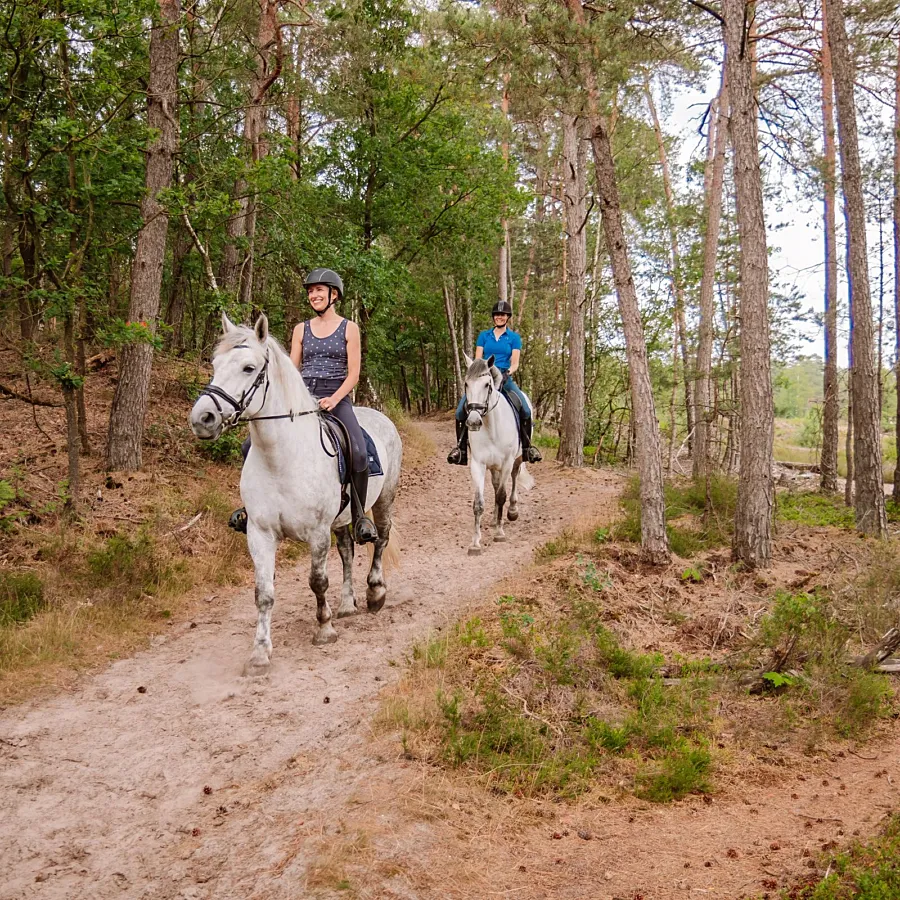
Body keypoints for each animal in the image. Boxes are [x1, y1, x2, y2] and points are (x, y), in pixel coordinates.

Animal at [189, 312, 400, 672]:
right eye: (215, 364)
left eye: (248, 368)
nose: (202, 418)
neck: (281, 458)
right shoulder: (259, 533)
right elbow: (263, 592)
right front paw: (259, 653)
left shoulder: (317, 533)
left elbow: (317, 581)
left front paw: (324, 629)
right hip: (341, 519)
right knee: (347, 551)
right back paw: (346, 605)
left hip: (384, 499)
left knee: (380, 540)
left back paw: (375, 594)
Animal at [464, 354, 536, 556]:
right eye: (466, 384)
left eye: (487, 385)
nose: (473, 421)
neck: (491, 426)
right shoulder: (478, 465)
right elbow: (479, 503)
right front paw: (475, 543)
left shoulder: (506, 462)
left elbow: (502, 495)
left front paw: (499, 533)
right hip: (492, 466)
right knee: (496, 486)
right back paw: (495, 517)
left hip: (516, 460)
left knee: (513, 479)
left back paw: (511, 511)